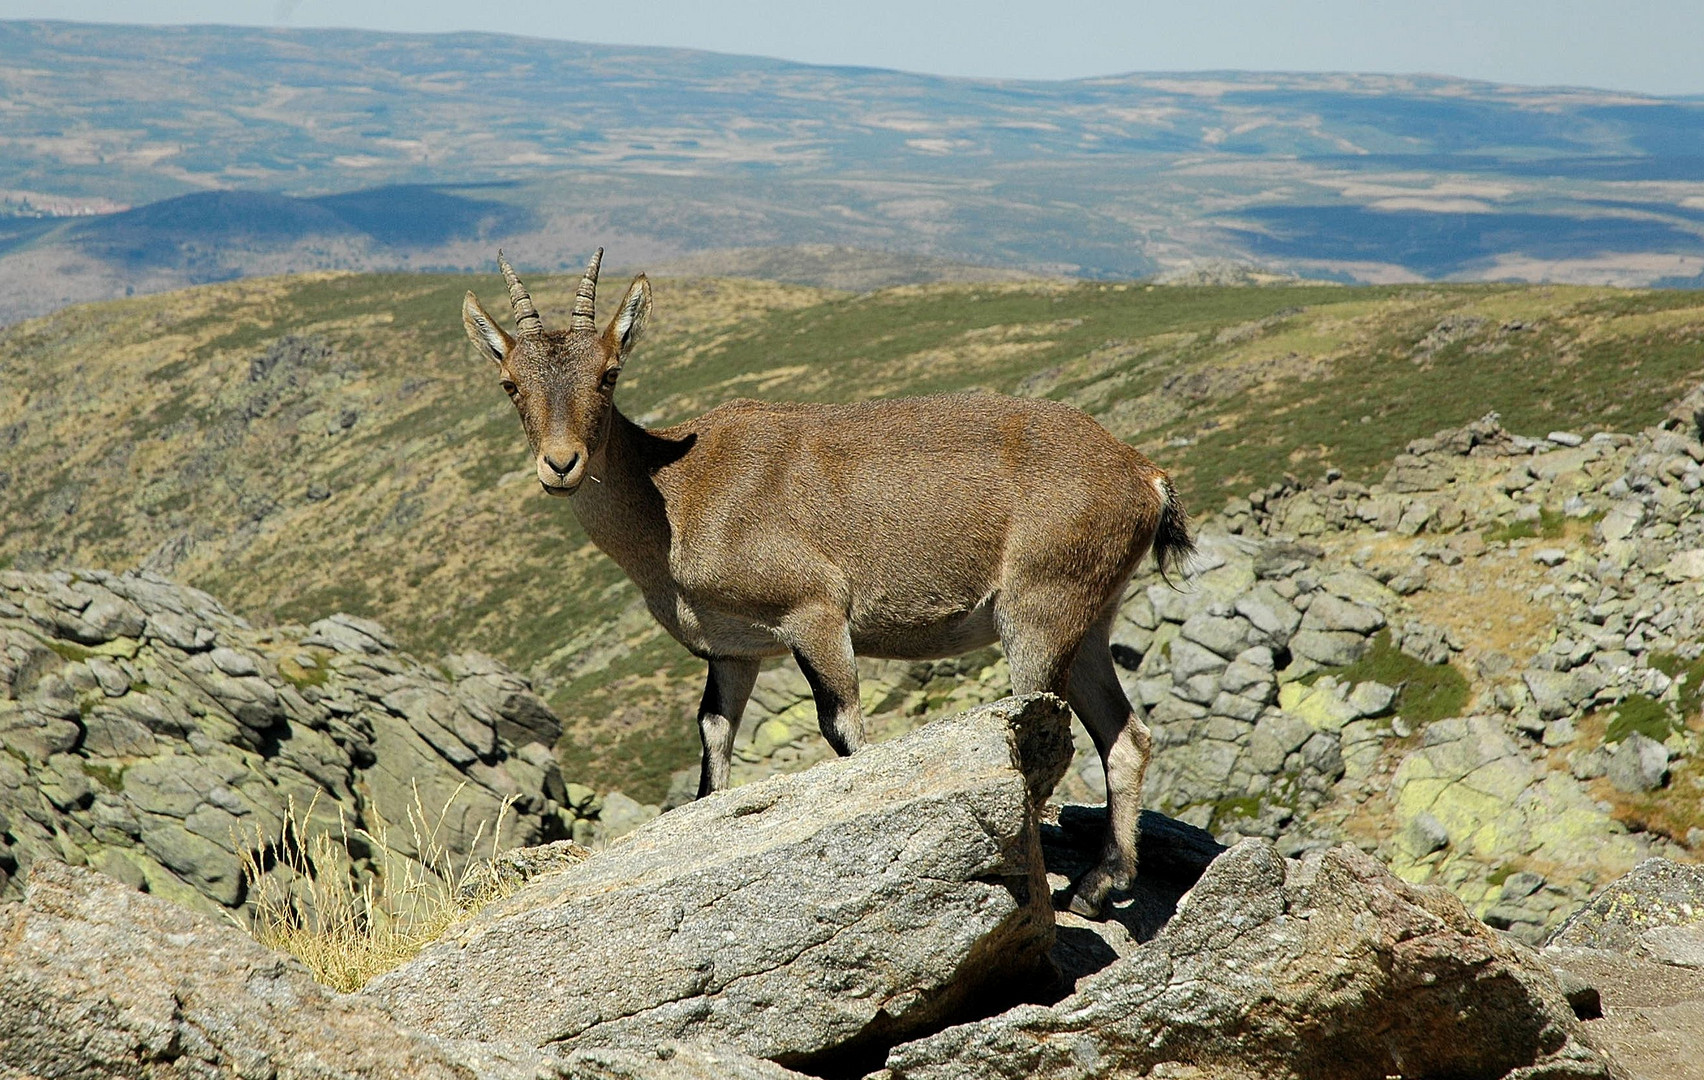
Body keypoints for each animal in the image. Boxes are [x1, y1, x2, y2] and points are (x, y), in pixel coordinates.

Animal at [460, 250, 1192, 906]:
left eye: (609, 374)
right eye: (510, 383)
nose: (561, 464)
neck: (676, 496)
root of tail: (1144, 474)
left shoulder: (814, 613)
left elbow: (846, 735)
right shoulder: (733, 651)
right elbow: (713, 749)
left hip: (1038, 613)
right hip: (1088, 621)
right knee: (1127, 738)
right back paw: (1103, 883)